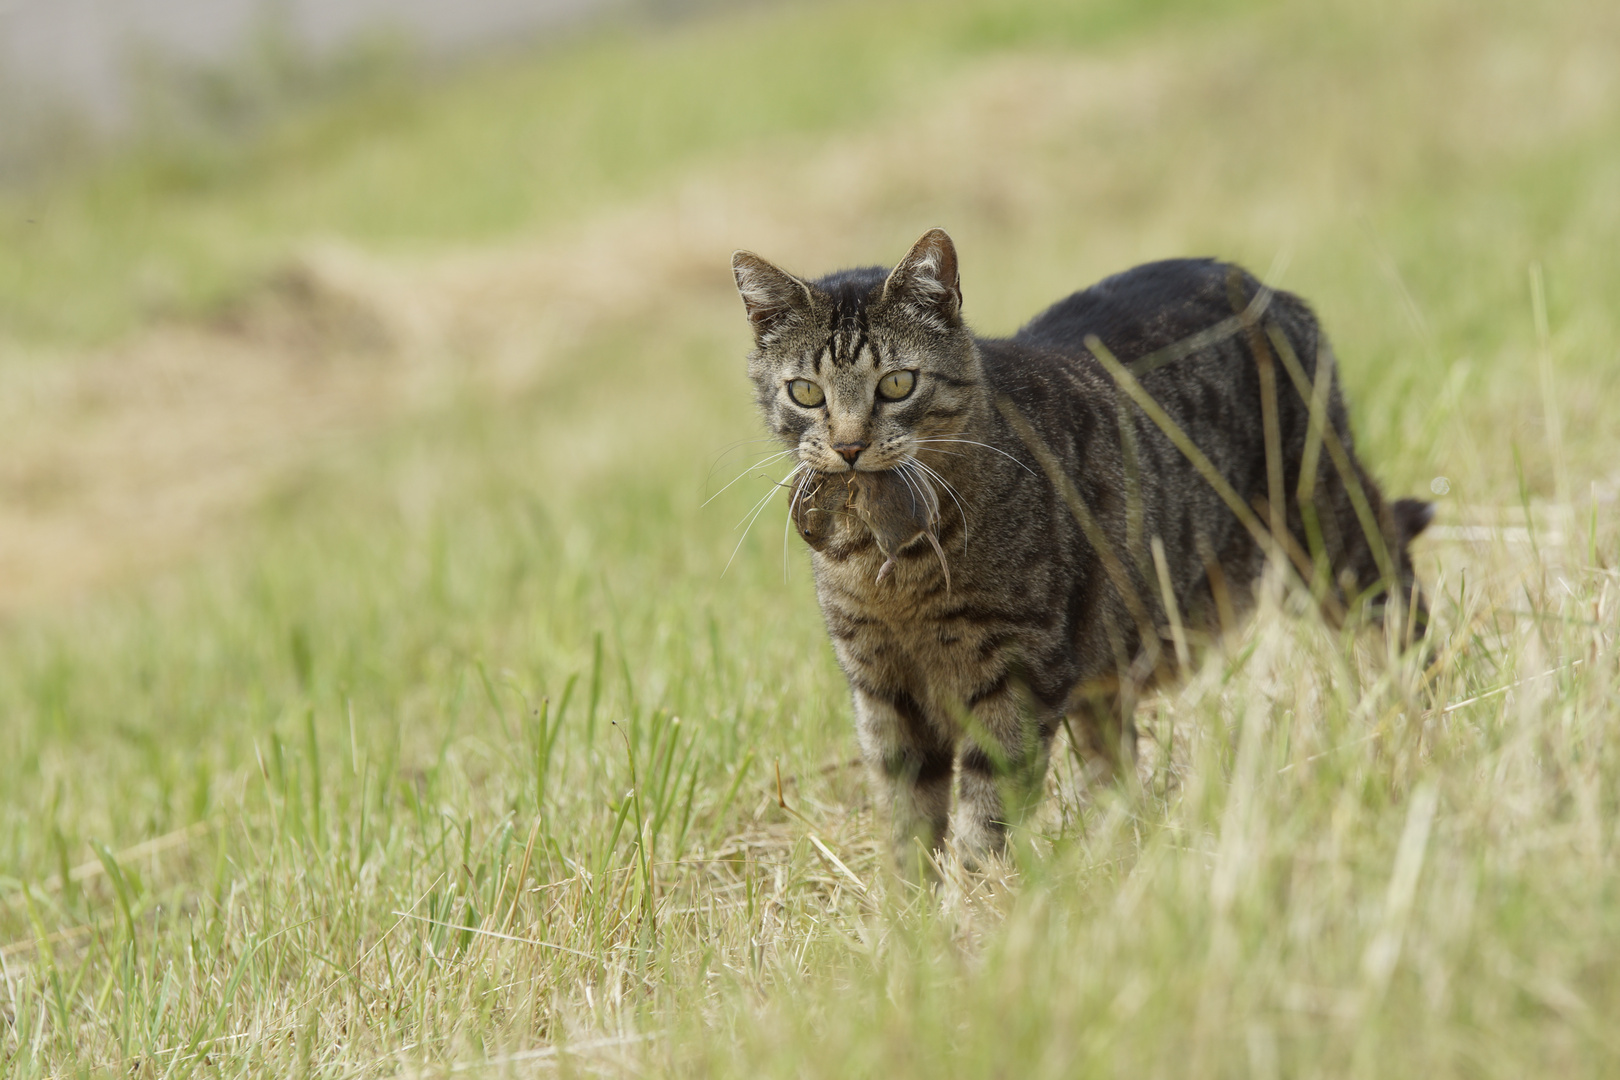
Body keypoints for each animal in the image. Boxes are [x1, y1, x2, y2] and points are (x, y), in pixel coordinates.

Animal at [735, 228, 1432, 867]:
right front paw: (909, 918)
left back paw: (1421, 727)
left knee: (1403, 609)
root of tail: (1260, 284)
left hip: (1331, 531)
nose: (849, 446)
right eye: (806, 392)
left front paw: (971, 908)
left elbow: (983, 819)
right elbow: (909, 823)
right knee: (1116, 774)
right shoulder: (883, 690)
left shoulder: (1014, 678)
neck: (892, 567)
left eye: (898, 384)